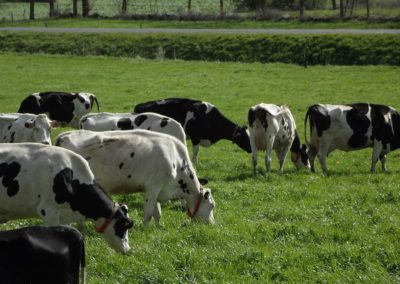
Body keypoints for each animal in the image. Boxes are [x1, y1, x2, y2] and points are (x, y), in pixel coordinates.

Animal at [56, 129, 216, 226]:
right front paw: (145, 229)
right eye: (212, 205)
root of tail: (63, 135)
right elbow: (149, 212)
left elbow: (157, 211)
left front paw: (159, 227)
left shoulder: (157, 190)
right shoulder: (153, 186)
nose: (212, 224)